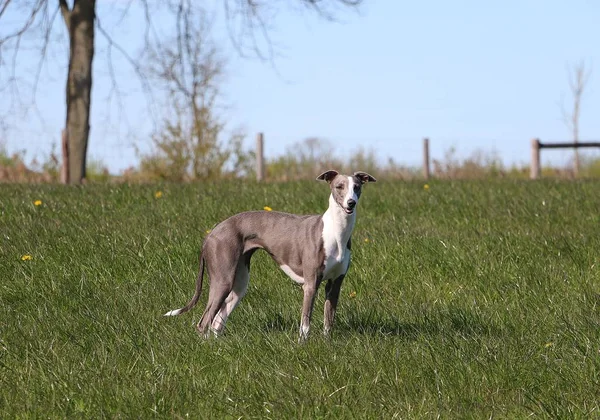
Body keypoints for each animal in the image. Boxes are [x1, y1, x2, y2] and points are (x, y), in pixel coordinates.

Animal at [165, 169, 376, 340]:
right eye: (339, 186)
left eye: (357, 187)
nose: (351, 203)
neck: (335, 232)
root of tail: (212, 233)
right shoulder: (310, 284)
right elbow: (305, 324)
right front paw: (302, 346)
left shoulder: (335, 284)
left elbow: (328, 322)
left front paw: (326, 345)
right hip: (222, 279)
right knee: (204, 322)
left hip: (239, 283)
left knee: (217, 321)